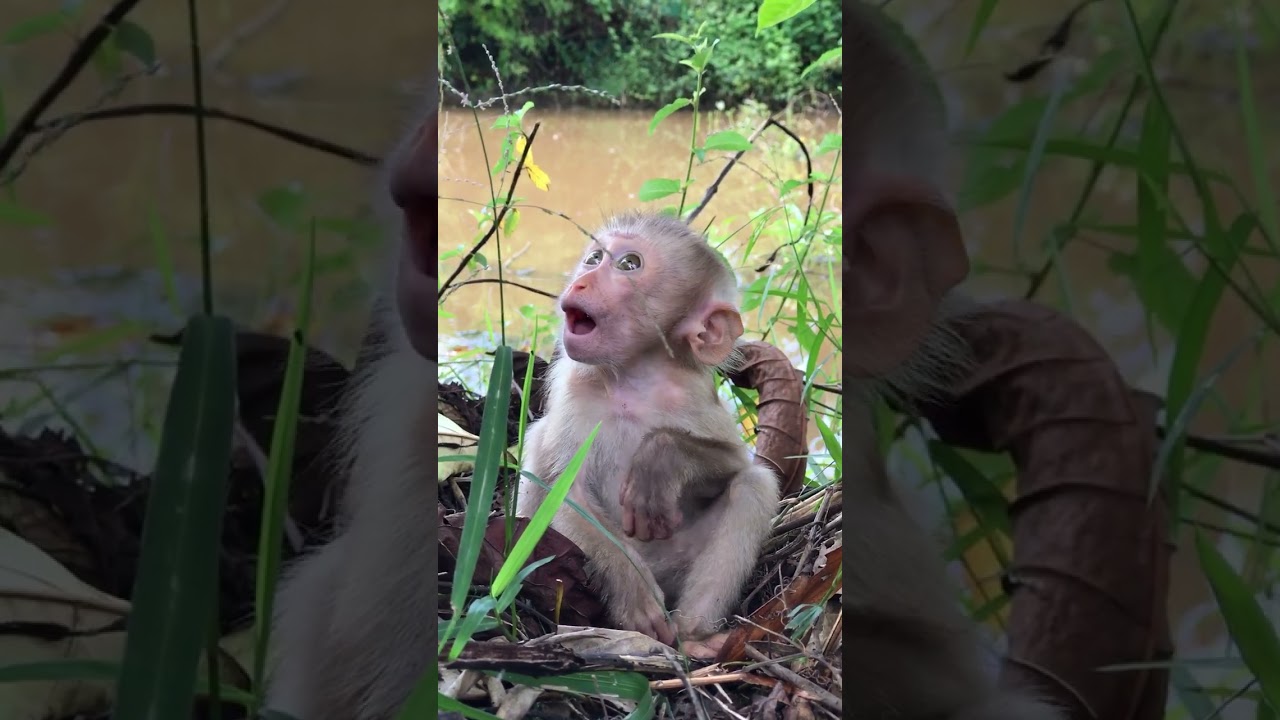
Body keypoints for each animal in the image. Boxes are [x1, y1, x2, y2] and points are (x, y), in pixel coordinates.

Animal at [513, 212, 782, 658]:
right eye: (594, 258)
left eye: (629, 264)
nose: (581, 282)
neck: (632, 377)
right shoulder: (572, 388)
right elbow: (565, 492)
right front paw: (632, 592)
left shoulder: (694, 395)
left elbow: (733, 461)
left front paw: (661, 462)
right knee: (538, 441)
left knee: (753, 484)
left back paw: (696, 636)